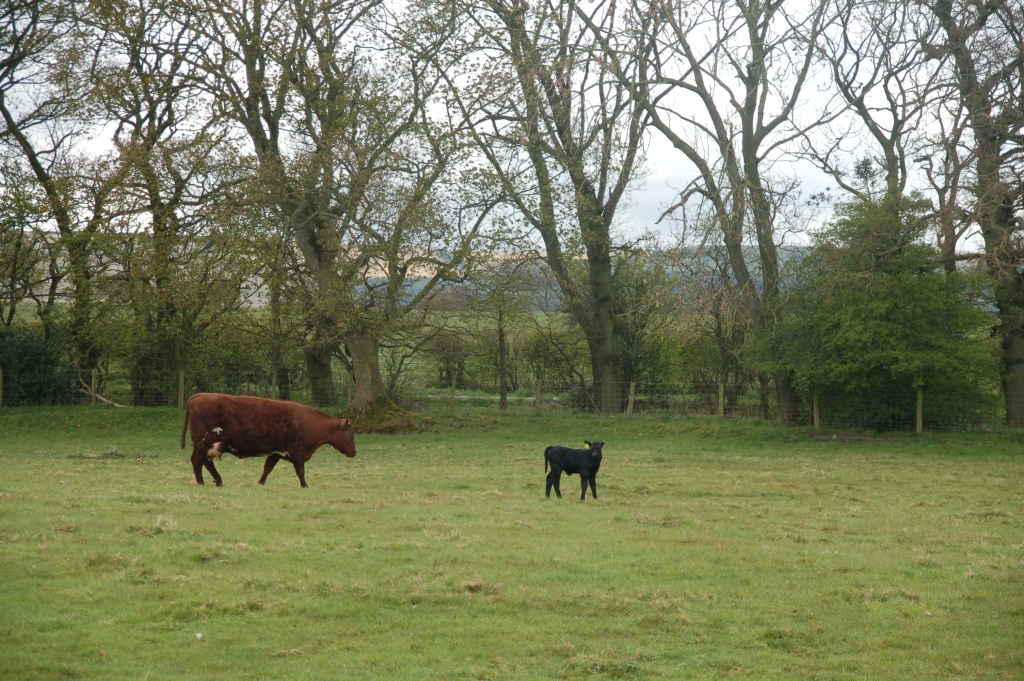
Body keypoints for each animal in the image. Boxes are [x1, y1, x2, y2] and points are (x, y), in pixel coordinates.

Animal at [180, 393, 356, 488]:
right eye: (351, 434)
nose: (354, 452)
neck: (310, 422)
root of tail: (201, 395)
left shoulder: (276, 452)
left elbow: (267, 468)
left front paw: (260, 483)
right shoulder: (297, 452)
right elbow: (300, 471)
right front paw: (305, 485)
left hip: (212, 446)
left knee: (207, 462)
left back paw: (219, 480)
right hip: (203, 443)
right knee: (197, 461)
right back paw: (201, 482)